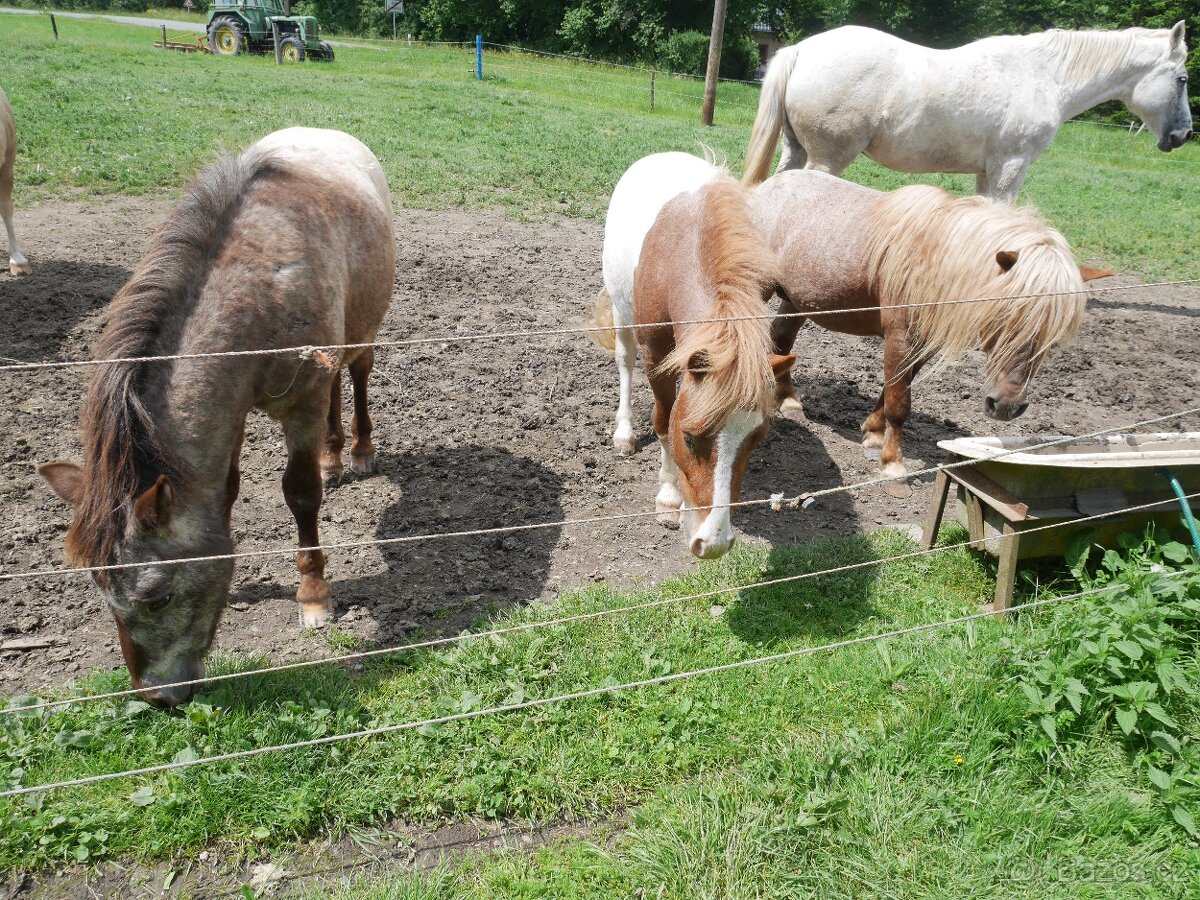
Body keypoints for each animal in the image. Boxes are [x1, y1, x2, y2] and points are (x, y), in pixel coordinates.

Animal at [37, 127, 395, 706]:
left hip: (366, 326)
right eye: (98, 587)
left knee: (358, 373)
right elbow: (225, 490)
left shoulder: (301, 405)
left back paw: (359, 452)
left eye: (157, 597)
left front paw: (313, 595)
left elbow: (300, 495)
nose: (158, 698)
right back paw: (333, 458)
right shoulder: (234, 410)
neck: (259, 289)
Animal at [592, 153, 793, 559]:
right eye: (688, 438)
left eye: (757, 438)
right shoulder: (657, 358)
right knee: (624, 362)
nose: (713, 543)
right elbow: (662, 420)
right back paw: (624, 432)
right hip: (622, 311)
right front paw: (669, 498)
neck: (686, 250)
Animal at [743, 23, 1193, 202]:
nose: (1184, 135)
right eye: (1184, 78)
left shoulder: (986, 171)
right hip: (827, 160)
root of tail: (802, 50)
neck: (1043, 75)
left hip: (797, 151)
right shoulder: (1012, 167)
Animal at [751, 169, 1112, 488]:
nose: (1007, 406)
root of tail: (767, 188)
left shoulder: (924, 344)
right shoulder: (900, 338)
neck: (935, 259)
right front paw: (893, 464)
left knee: (782, 339)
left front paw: (873, 433)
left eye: (1055, 339)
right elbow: (899, 402)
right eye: (1004, 316)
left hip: (798, 300)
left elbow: (894, 388)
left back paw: (789, 401)